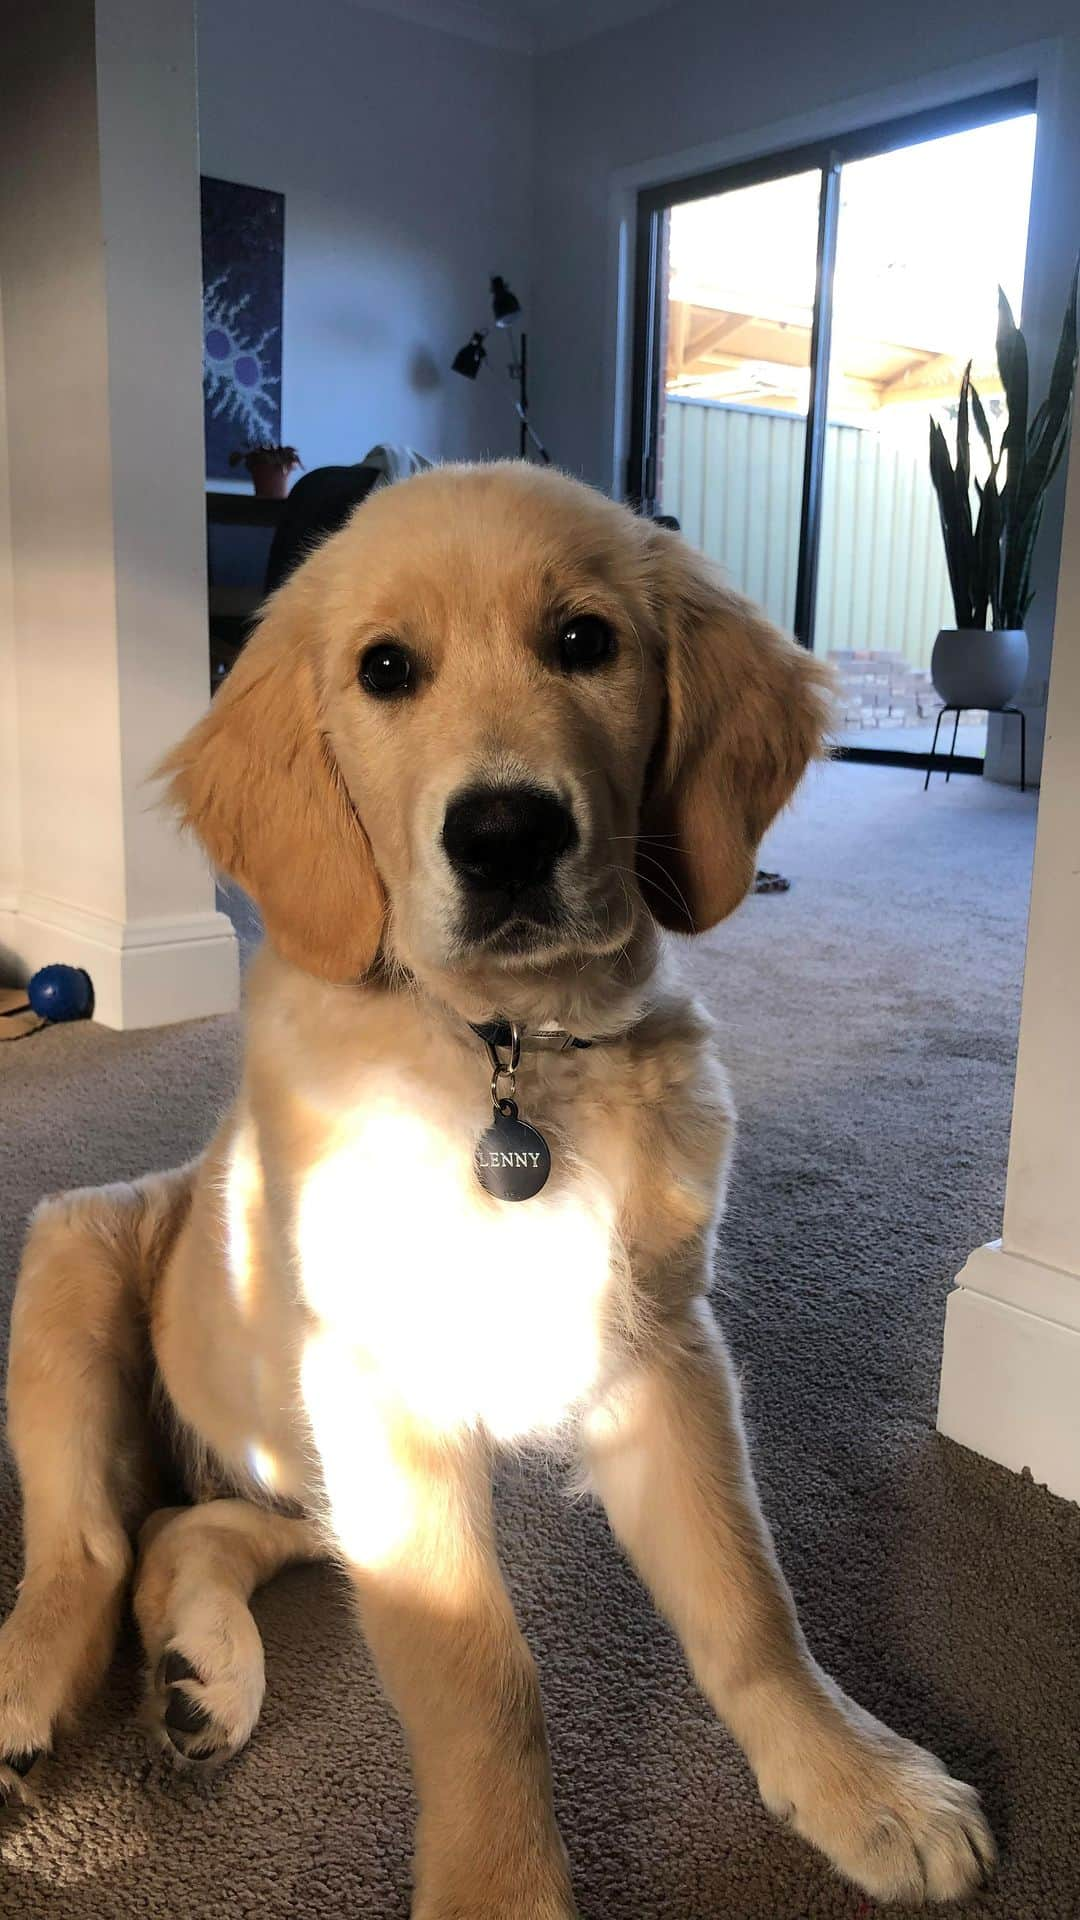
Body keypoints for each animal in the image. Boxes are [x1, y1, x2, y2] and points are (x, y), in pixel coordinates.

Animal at [2, 468, 991, 1920]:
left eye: (584, 642)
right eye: (385, 670)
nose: (509, 834)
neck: (509, 1055)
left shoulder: (660, 1353)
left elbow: (748, 1595)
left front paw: (855, 1778)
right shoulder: (385, 1388)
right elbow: (479, 1674)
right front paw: (501, 1891)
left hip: (301, 1477)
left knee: (191, 1531)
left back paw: (200, 1674)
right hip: (78, 1251)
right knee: (89, 1546)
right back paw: (27, 1689)